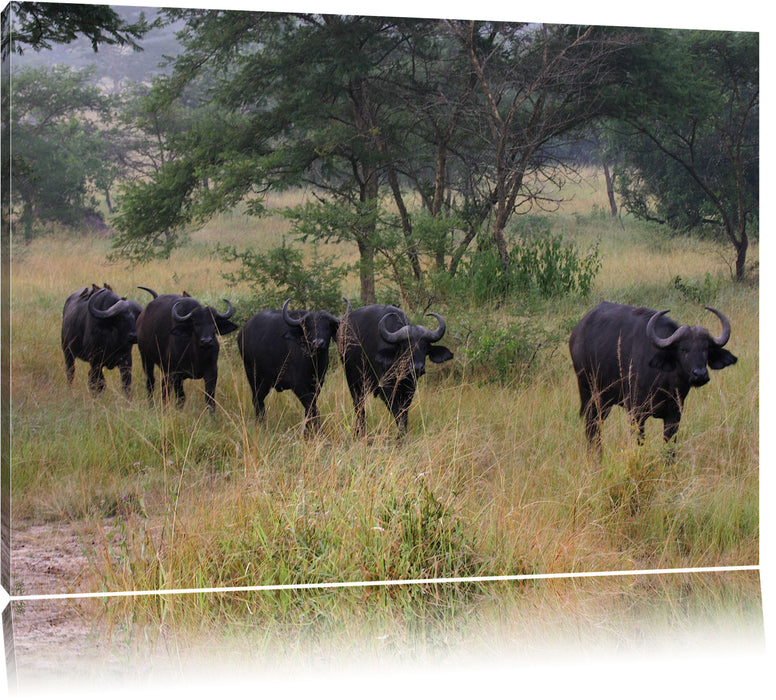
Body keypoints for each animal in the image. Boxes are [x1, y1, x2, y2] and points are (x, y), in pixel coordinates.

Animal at [238, 296, 342, 432]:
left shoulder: (317, 384)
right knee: (257, 400)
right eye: (308, 327)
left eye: (327, 326)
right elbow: (312, 408)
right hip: (253, 375)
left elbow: (309, 409)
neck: (313, 362)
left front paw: (308, 431)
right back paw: (261, 426)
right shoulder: (298, 386)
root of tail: (242, 331)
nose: (318, 343)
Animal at [336, 302, 452, 438]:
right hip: (353, 379)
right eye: (406, 347)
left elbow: (404, 412)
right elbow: (397, 412)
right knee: (359, 406)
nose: (417, 367)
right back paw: (360, 432)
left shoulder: (409, 389)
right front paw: (401, 436)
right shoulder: (386, 389)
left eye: (425, 347)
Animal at [568, 300, 736, 452]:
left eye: (706, 349)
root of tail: (577, 332)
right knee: (592, 427)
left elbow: (669, 449)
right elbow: (639, 443)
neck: (665, 383)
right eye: (683, 349)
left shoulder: (674, 415)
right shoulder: (636, 413)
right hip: (590, 394)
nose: (700, 374)